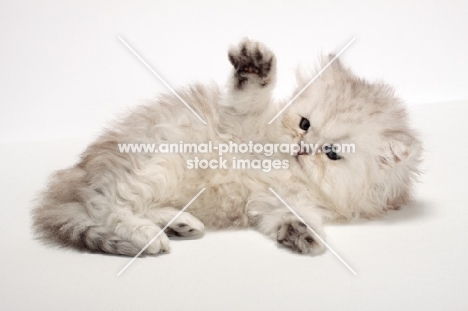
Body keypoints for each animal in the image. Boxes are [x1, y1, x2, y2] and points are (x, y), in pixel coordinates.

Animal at [31, 39, 422, 258]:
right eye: (304, 124)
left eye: (331, 153)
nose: (302, 147)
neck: (282, 165)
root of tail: (79, 172)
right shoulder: (238, 122)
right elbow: (249, 95)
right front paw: (254, 66)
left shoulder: (275, 201)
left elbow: (289, 216)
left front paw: (300, 234)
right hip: (153, 166)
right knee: (105, 207)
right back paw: (148, 237)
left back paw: (179, 224)